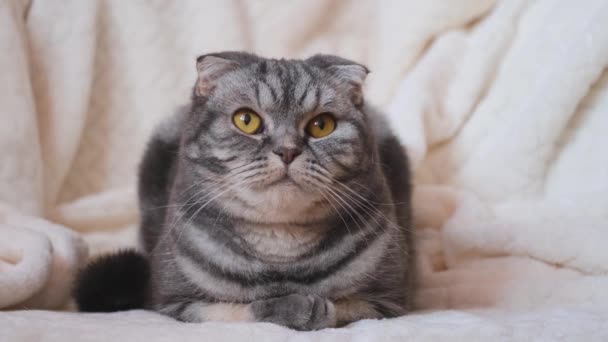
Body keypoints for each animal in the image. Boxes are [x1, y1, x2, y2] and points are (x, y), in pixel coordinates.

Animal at [73, 51, 414, 332]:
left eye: (322, 125)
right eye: (246, 120)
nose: (287, 150)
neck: (281, 244)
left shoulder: (387, 303)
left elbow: (343, 306)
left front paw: (313, 306)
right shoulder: (172, 302)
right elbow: (238, 309)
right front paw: (294, 306)